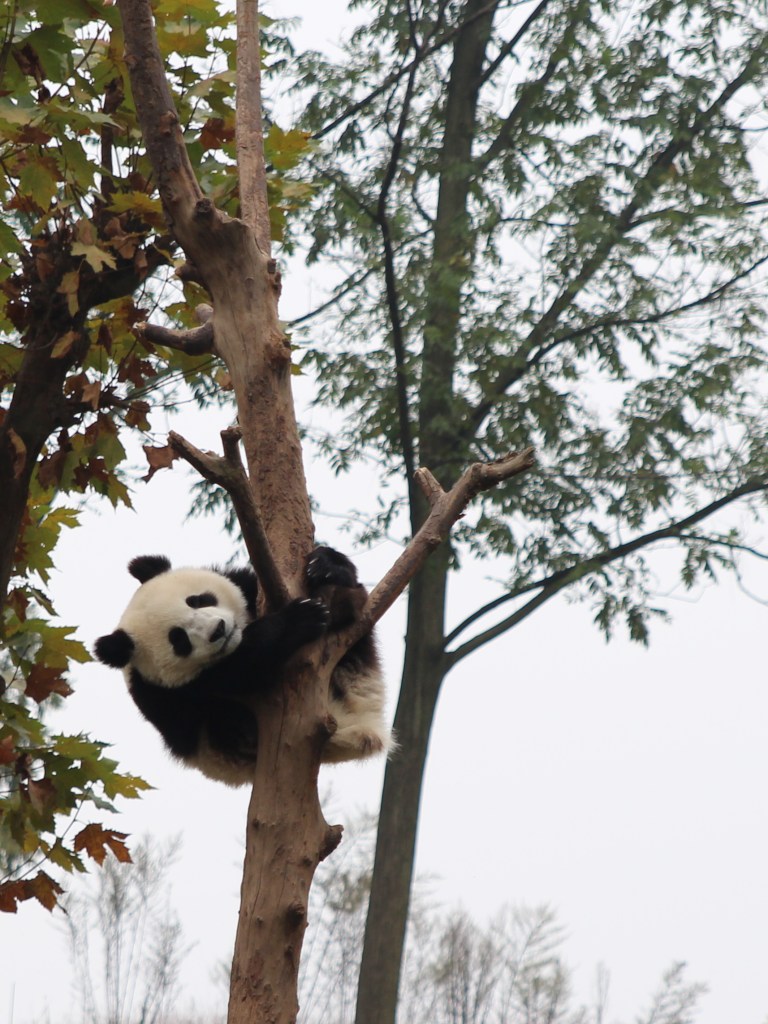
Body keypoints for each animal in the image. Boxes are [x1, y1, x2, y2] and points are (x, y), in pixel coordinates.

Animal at [94, 545, 390, 785]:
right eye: (178, 639)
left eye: (198, 600)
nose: (219, 630)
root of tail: (362, 727)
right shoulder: (170, 694)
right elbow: (240, 670)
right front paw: (297, 620)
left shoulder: (245, 583)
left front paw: (326, 565)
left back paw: (339, 599)